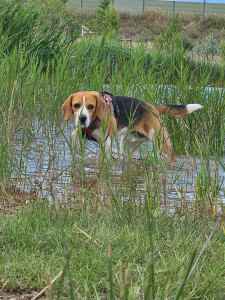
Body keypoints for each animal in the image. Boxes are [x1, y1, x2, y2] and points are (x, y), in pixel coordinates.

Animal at [61, 91, 202, 162]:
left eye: (91, 106)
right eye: (76, 105)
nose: (82, 118)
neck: (94, 120)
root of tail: (154, 108)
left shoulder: (107, 139)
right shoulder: (82, 130)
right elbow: (74, 135)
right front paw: (78, 150)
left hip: (161, 143)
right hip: (127, 143)